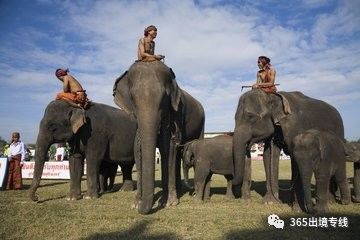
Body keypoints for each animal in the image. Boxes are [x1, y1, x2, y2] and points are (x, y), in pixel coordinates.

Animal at [114, 60, 205, 214]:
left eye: (164, 96)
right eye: (132, 97)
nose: (141, 208)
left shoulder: (176, 113)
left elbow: (169, 146)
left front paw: (169, 202)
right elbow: (137, 148)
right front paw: (135, 204)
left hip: (202, 123)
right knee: (178, 155)